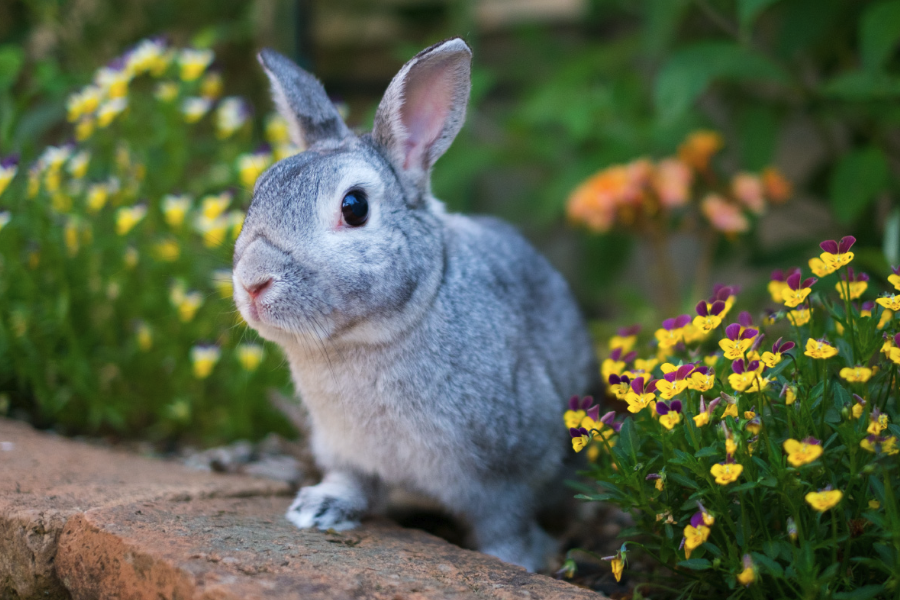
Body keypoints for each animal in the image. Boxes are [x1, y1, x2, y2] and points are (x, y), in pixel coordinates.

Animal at [232, 37, 596, 572]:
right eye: (260, 191)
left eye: (354, 207)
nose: (252, 281)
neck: (372, 337)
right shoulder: (344, 448)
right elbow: (351, 480)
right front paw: (317, 509)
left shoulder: (509, 470)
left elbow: (504, 523)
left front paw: (514, 562)